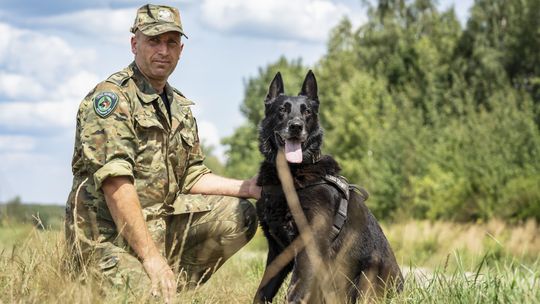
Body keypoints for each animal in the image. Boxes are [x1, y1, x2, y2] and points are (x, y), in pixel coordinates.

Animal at [253, 70, 400, 302]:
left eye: (307, 112)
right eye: (282, 110)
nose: (296, 127)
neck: (292, 174)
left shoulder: (309, 246)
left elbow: (295, 292)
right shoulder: (278, 250)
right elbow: (263, 291)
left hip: (369, 273)